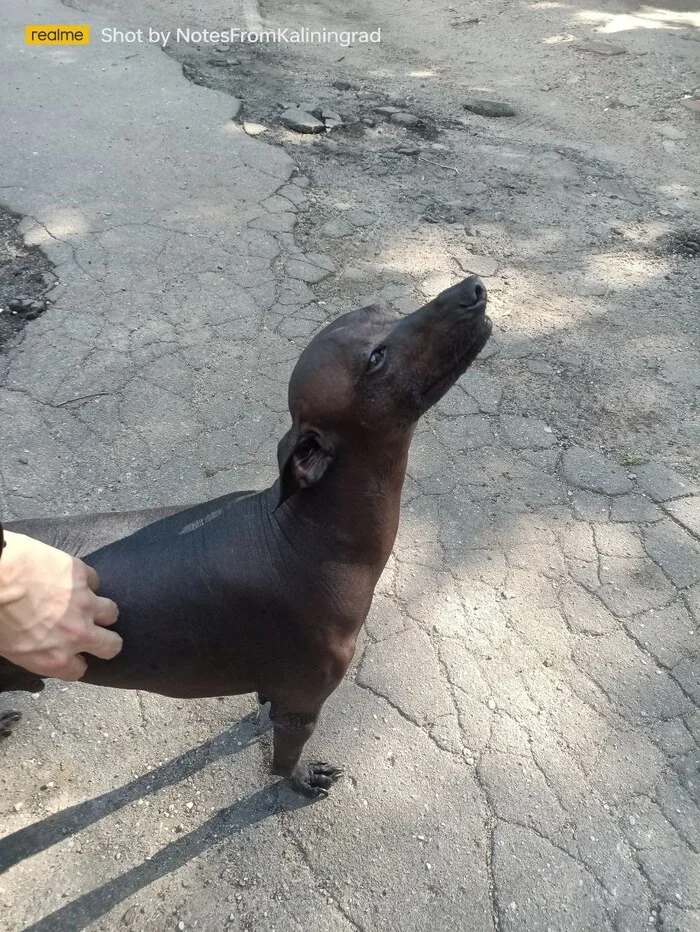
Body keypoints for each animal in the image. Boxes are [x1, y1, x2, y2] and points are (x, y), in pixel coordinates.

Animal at [0, 274, 492, 792]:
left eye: (384, 310)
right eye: (375, 359)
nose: (472, 288)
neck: (305, 535)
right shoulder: (303, 703)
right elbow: (284, 761)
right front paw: (301, 779)